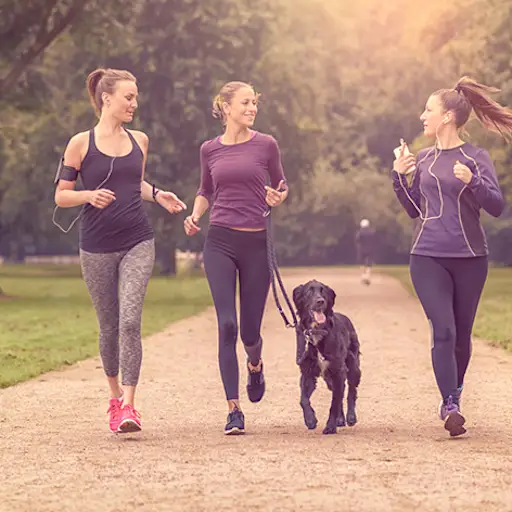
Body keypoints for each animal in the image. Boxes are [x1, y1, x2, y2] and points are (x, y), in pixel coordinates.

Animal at [292, 278, 360, 434]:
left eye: (323, 291)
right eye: (309, 291)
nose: (320, 301)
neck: (317, 332)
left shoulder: (338, 370)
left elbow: (334, 402)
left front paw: (330, 426)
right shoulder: (308, 371)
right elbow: (303, 399)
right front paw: (310, 420)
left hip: (353, 366)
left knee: (351, 391)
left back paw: (350, 417)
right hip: (329, 378)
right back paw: (341, 419)